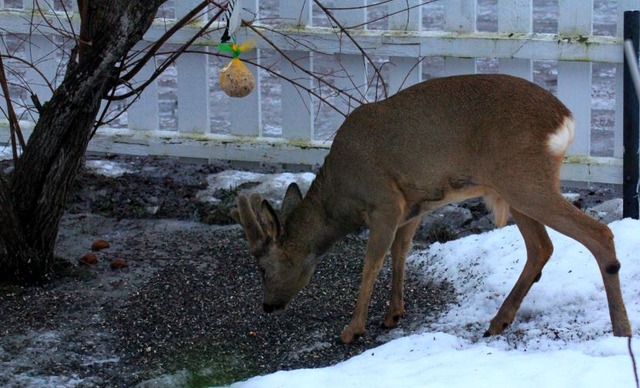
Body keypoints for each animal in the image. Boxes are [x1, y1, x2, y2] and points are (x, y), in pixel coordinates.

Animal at [230, 72, 632, 342]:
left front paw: (351, 330)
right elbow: (400, 251)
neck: (341, 197)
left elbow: (371, 261)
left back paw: (621, 328)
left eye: (263, 268)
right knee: (541, 247)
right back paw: (498, 322)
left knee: (599, 233)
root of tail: (565, 120)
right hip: (515, 187)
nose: (268, 306)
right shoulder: (415, 204)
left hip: (523, 179)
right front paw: (393, 314)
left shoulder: (384, 201)